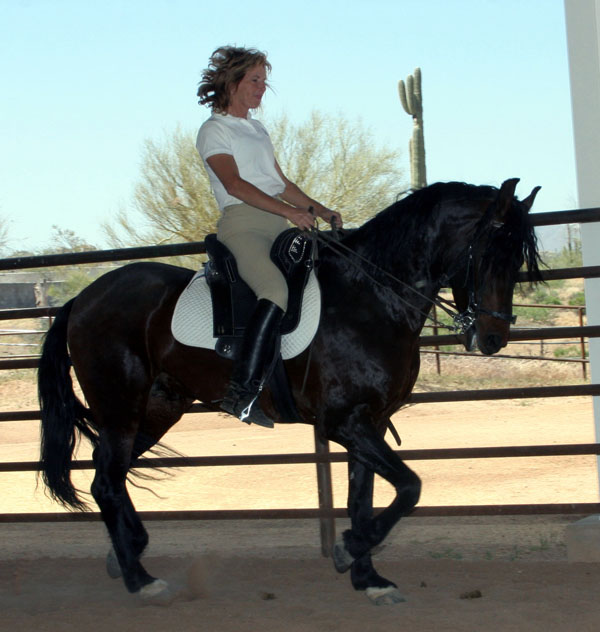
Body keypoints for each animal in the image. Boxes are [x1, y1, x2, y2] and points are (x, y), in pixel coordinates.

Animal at [37, 180, 544, 604]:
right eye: (491, 254)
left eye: (517, 259)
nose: (494, 338)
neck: (372, 296)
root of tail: (84, 298)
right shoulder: (345, 423)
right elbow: (409, 487)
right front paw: (348, 550)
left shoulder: (371, 422)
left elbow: (364, 500)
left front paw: (369, 578)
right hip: (121, 405)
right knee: (107, 479)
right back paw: (139, 577)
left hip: (159, 407)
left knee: (110, 475)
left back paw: (129, 552)